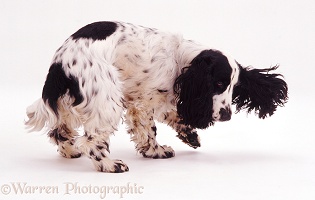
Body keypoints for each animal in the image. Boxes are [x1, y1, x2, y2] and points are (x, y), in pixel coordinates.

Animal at [25, 21, 290, 172]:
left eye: (234, 87)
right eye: (218, 83)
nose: (226, 116)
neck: (184, 59)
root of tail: (59, 64)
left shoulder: (145, 99)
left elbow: (170, 117)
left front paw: (188, 136)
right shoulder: (144, 101)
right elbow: (150, 128)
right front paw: (157, 151)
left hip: (71, 101)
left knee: (60, 130)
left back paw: (70, 151)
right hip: (106, 97)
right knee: (91, 141)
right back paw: (109, 165)